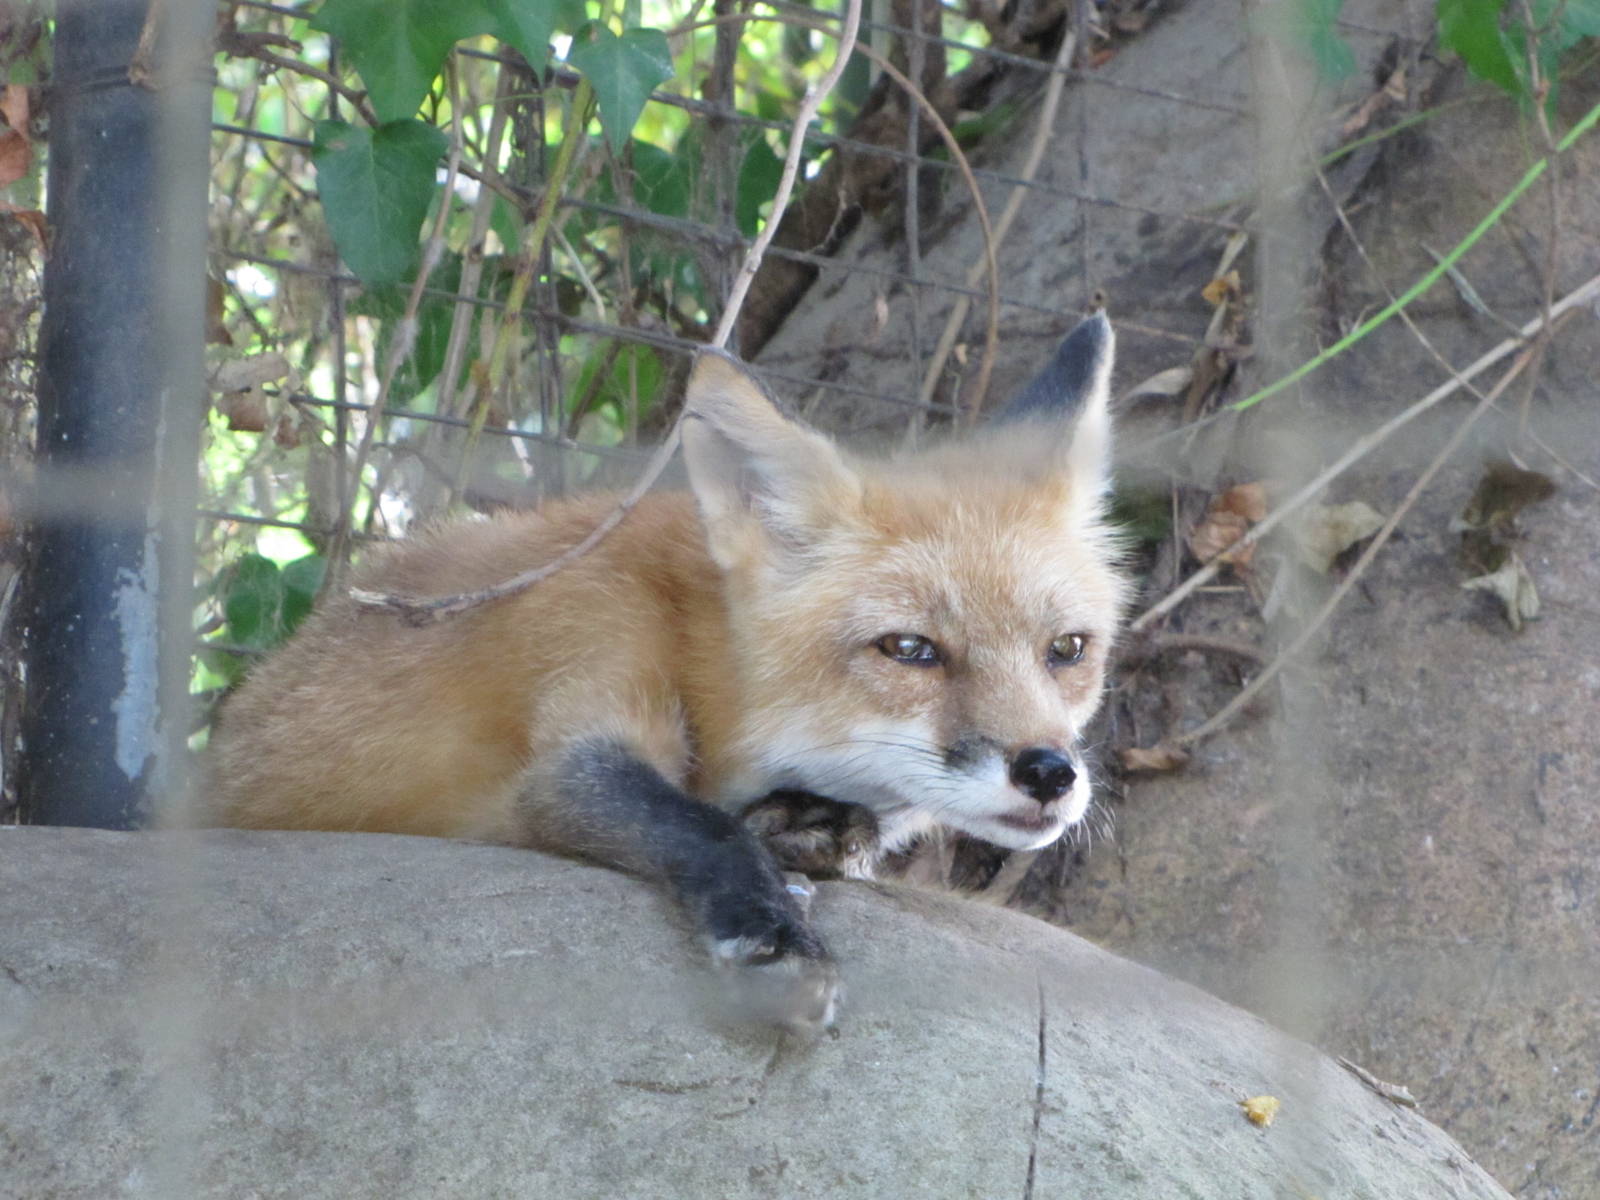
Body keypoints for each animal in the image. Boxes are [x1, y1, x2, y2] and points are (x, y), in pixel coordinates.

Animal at [205, 312, 1127, 1032]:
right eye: (910, 650)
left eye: (1068, 651)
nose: (1051, 773)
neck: (696, 645)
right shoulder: (588, 651)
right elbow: (692, 822)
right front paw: (774, 934)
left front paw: (809, 830)